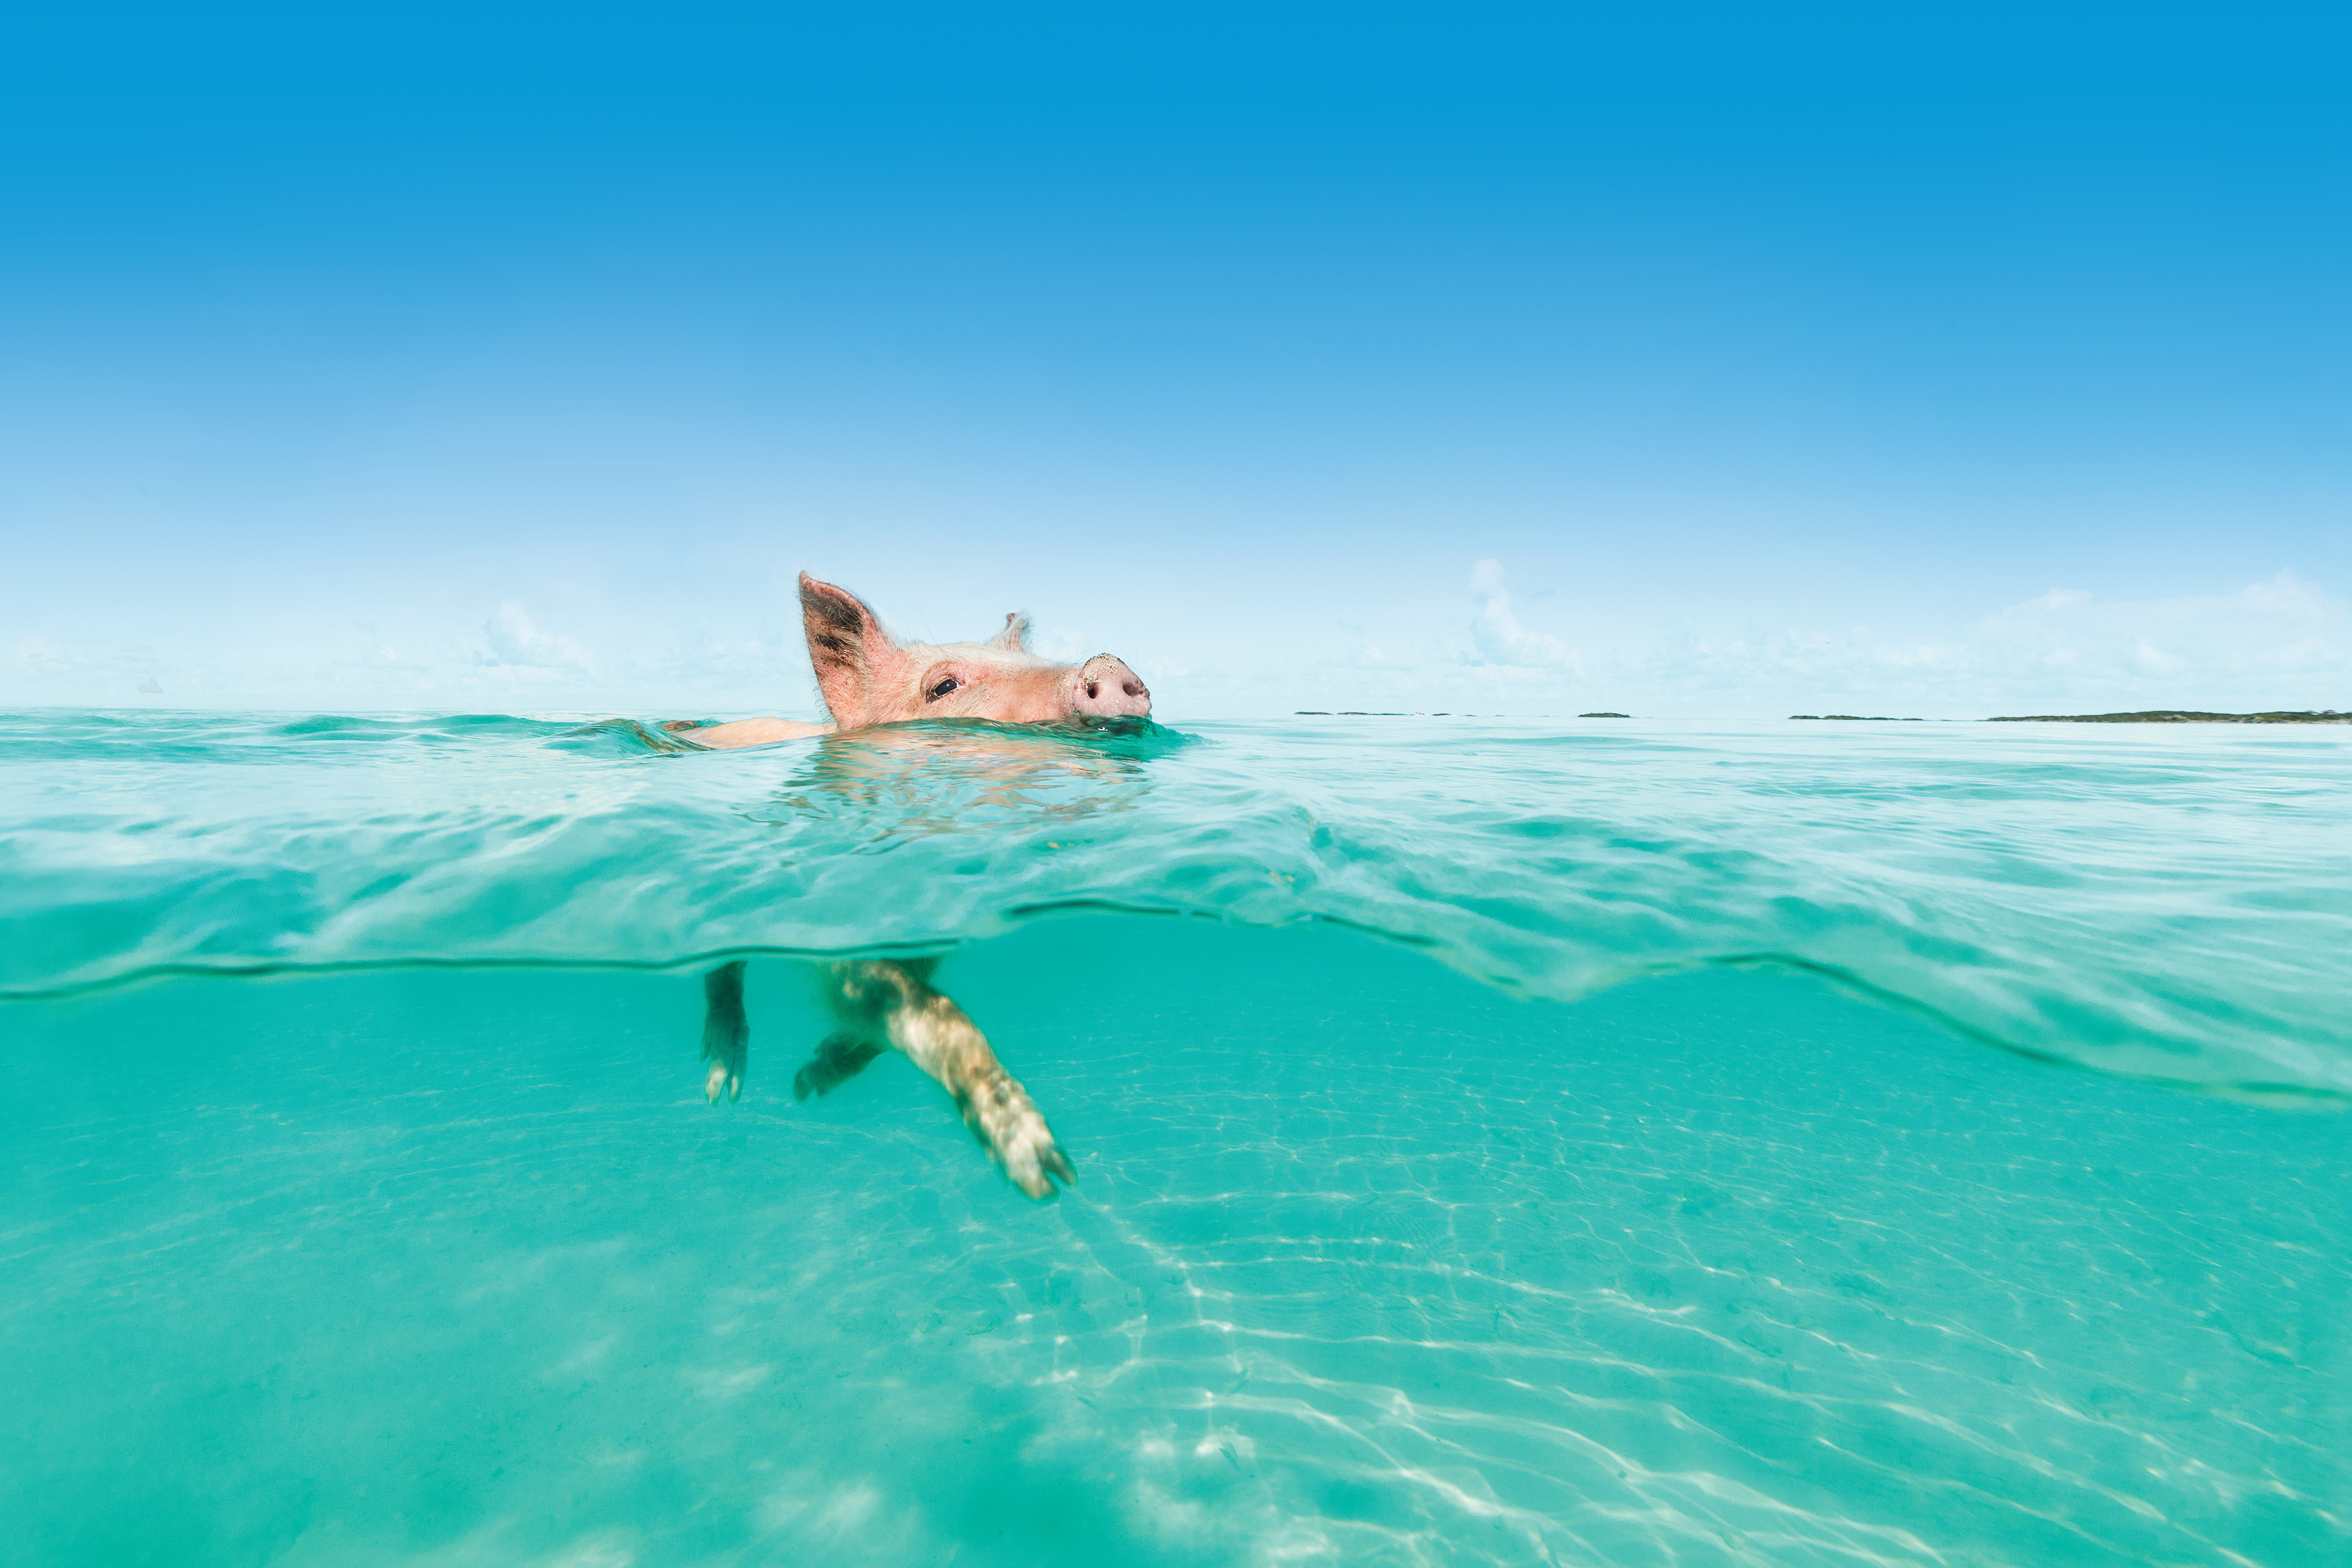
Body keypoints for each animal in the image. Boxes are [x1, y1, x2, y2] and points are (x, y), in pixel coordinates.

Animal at [676, 573, 1152, 1200]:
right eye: (943, 686)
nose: (1106, 663)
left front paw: (810, 1080)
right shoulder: (837, 940)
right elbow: (934, 1012)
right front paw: (1046, 1173)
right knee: (722, 968)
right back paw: (721, 1086)